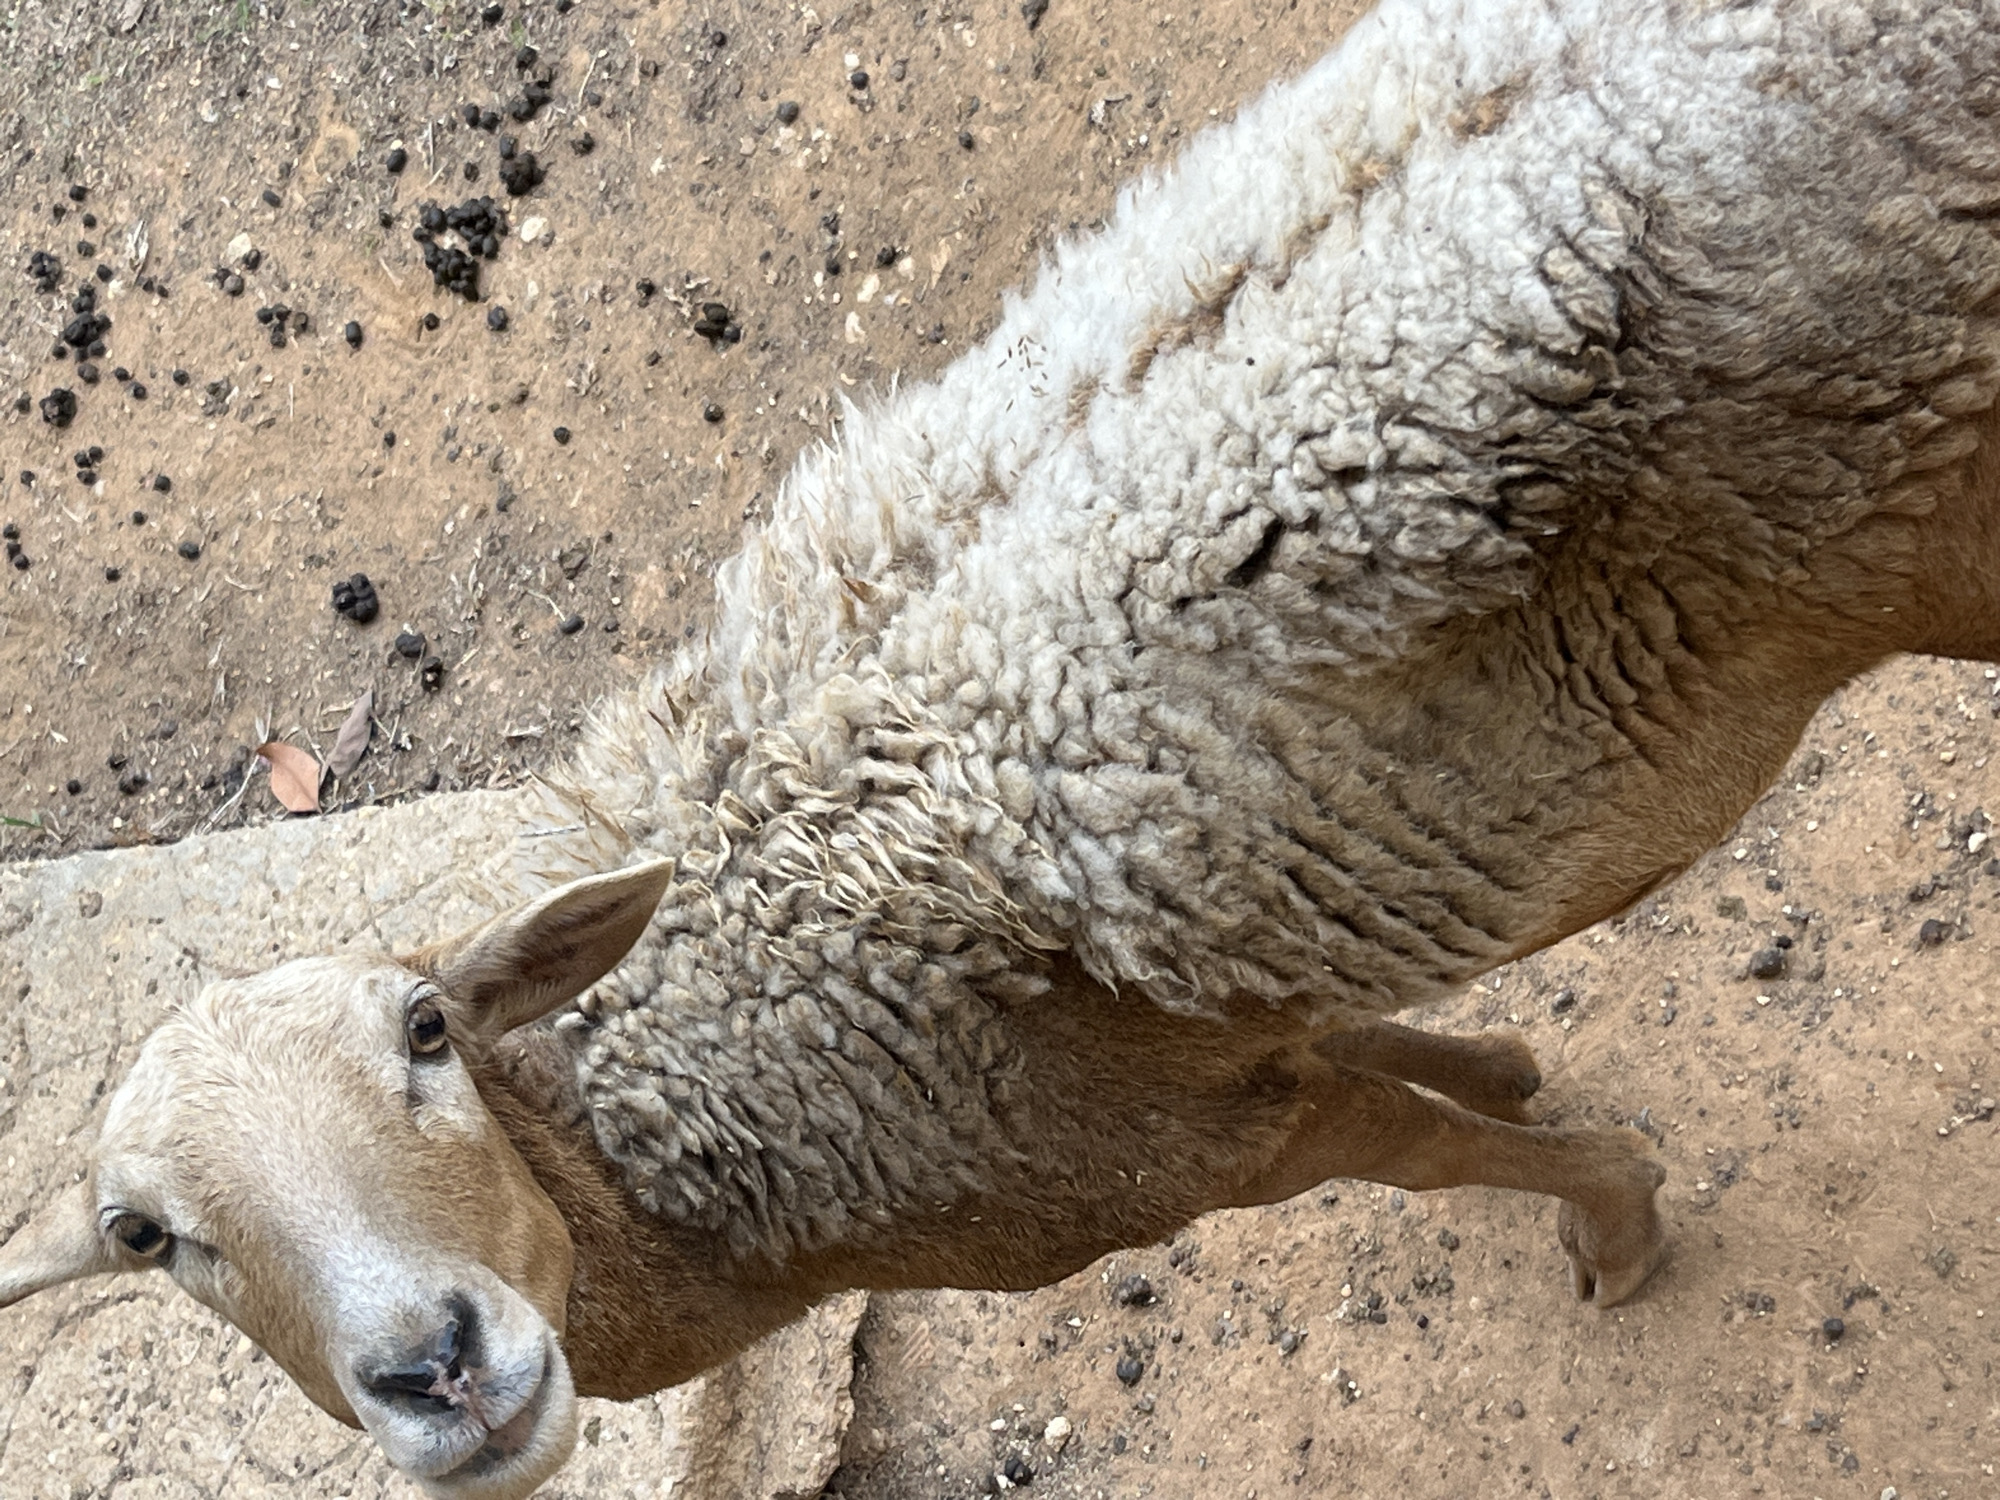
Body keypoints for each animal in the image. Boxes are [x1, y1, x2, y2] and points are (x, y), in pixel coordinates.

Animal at [8, 0, 2000, 1494]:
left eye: (428, 1032)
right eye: (143, 1237)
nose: (438, 1365)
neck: (682, 1133)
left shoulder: (1176, 1160)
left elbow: (1433, 1154)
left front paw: (1616, 1218)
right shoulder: (1218, 1052)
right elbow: (1397, 1060)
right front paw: (1504, 1063)